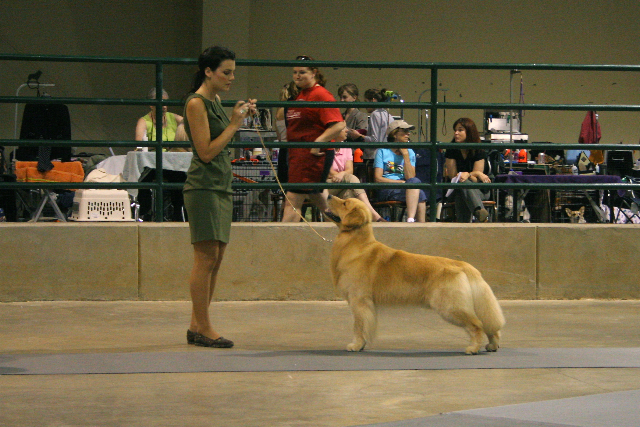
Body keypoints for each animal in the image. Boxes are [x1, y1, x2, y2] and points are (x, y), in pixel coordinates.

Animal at [324, 196, 504, 354]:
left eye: (345, 203)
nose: (330, 196)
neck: (356, 244)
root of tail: (462, 265)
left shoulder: (359, 300)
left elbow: (359, 326)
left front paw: (356, 345)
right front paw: (361, 345)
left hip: (450, 306)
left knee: (477, 325)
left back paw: (473, 348)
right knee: (490, 327)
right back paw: (492, 345)